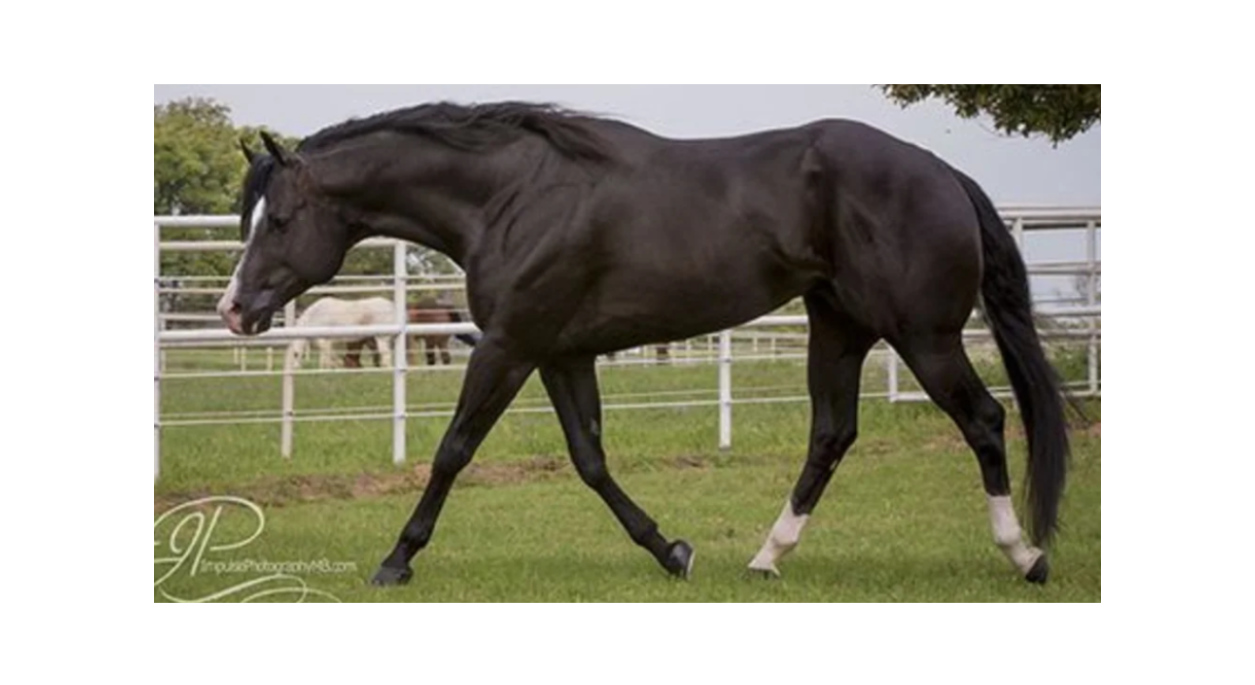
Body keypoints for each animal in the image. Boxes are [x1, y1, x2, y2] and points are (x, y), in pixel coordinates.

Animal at [219, 102, 1069, 588]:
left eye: (280, 220)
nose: (234, 310)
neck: (513, 196)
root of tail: (940, 173)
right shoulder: (560, 353)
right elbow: (590, 459)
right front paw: (671, 550)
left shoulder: (509, 345)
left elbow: (453, 449)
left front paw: (396, 559)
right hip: (838, 327)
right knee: (831, 434)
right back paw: (766, 557)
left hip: (921, 334)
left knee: (983, 420)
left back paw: (1025, 556)